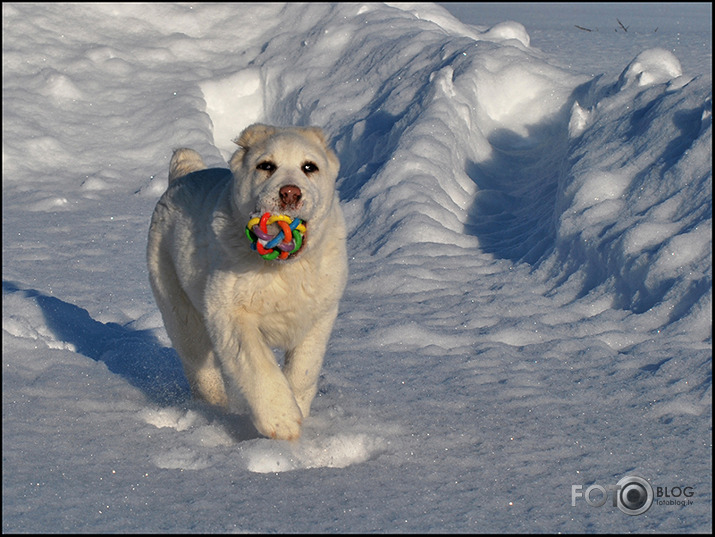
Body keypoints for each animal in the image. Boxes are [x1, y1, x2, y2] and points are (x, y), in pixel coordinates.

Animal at [147, 123, 348, 438]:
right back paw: (214, 407)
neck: (283, 270)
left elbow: (304, 368)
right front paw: (281, 420)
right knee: (199, 365)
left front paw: (298, 408)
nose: (290, 193)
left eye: (309, 167)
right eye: (266, 166)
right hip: (178, 308)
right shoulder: (229, 313)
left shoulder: (320, 314)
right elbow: (257, 366)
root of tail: (183, 174)